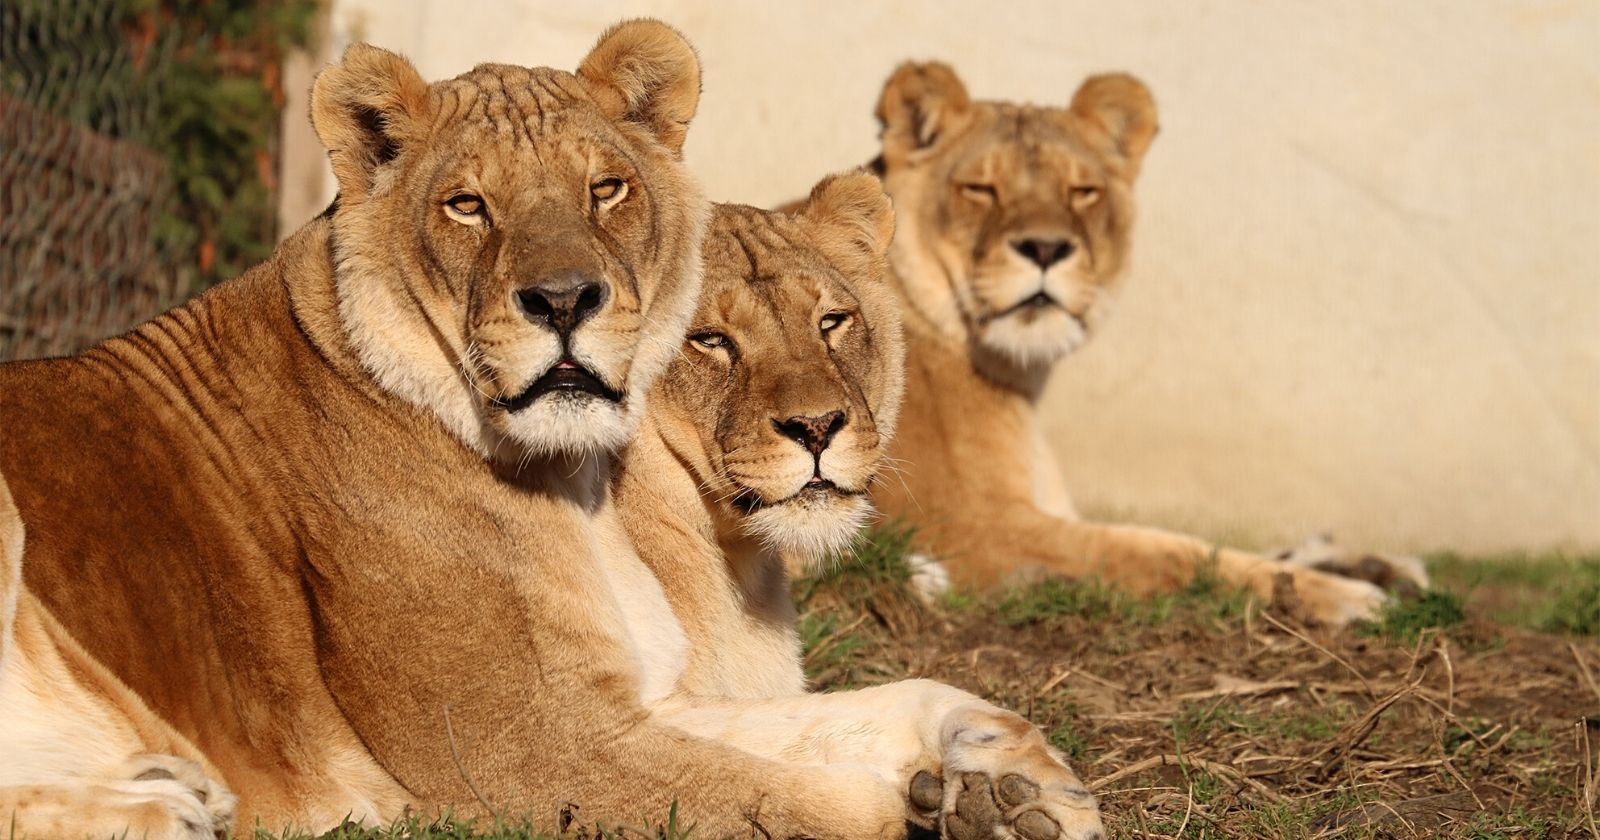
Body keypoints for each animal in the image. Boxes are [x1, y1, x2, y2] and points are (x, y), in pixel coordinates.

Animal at [851, 64, 1427, 620]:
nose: (1046, 247)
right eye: (980, 188)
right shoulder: (971, 527)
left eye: (1083, 192)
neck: (1021, 377)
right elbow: (1165, 551)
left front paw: (1374, 567)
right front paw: (1347, 595)